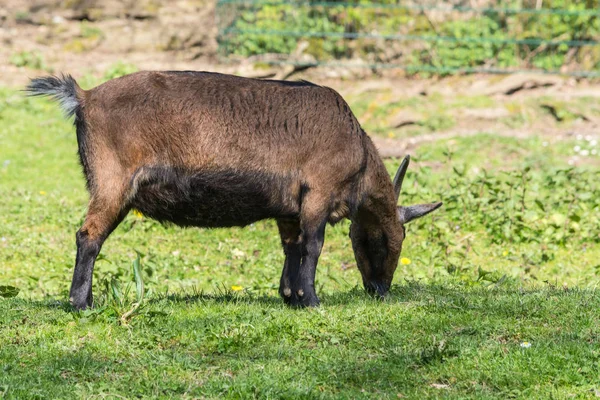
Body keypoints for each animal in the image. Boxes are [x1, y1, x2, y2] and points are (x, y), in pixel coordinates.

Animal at [27, 72, 440, 310]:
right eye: (386, 238)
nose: (380, 291)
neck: (357, 151)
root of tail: (84, 96)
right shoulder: (318, 192)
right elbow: (313, 246)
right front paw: (312, 300)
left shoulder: (290, 208)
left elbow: (292, 247)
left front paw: (291, 297)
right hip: (112, 183)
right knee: (88, 236)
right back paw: (81, 304)